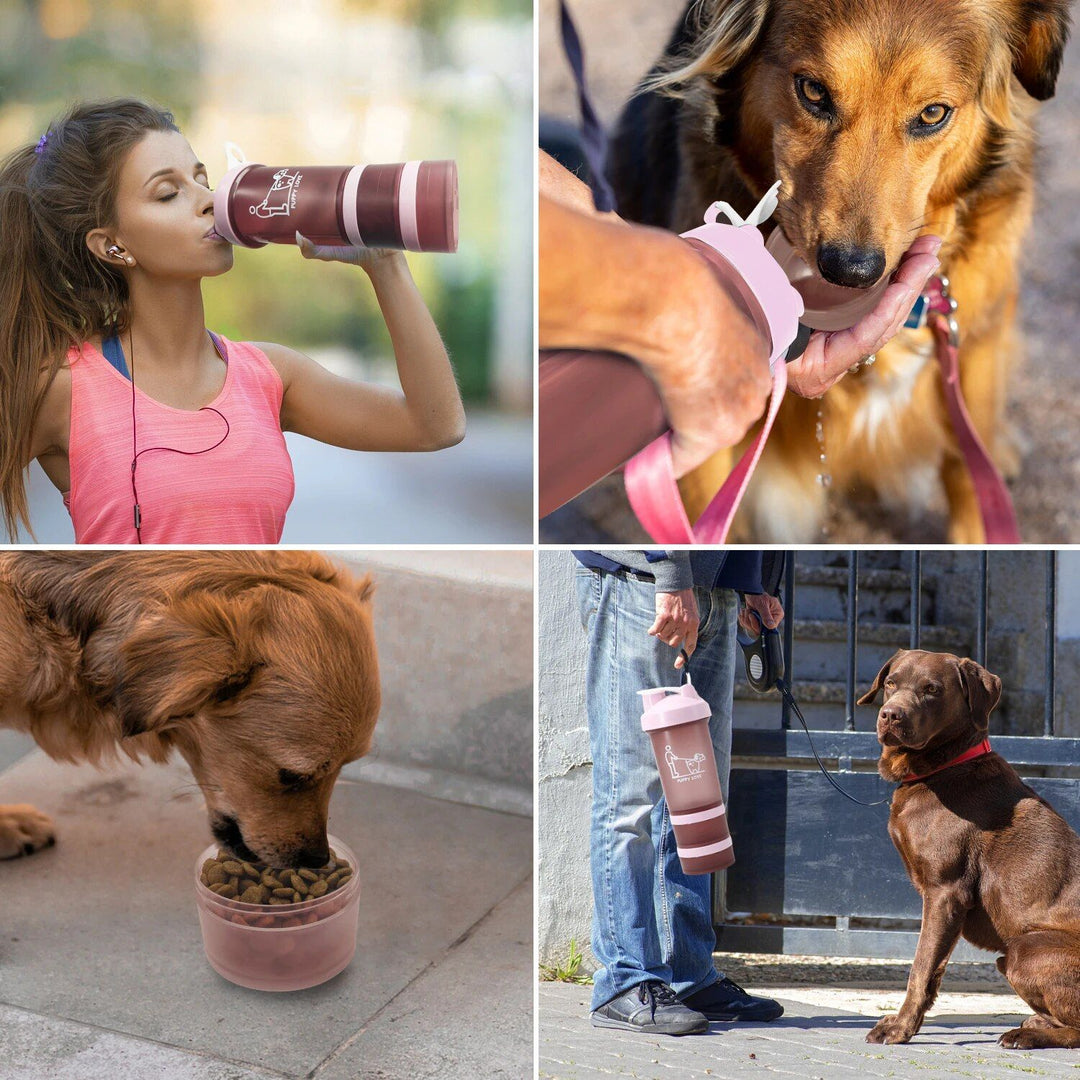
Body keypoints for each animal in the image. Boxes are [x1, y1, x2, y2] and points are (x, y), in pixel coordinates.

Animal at [864, 648, 1080, 1045]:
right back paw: (1035, 1024)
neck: (943, 767)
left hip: (1025, 949)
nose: (889, 715)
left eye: (931, 689)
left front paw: (899, 1029)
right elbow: (933, 970)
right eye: (891, 683)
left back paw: (1026, 1035)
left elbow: (920, 968)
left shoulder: (945, 892)